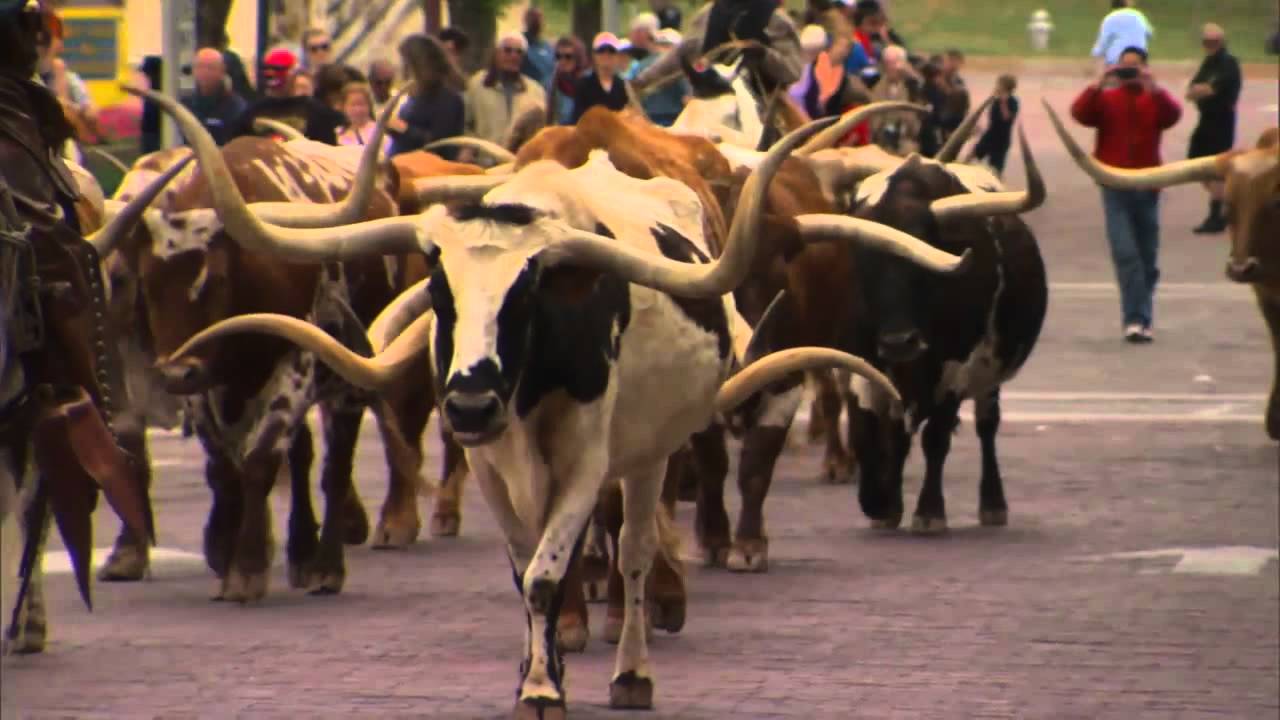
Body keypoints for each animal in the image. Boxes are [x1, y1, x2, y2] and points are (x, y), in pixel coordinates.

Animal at [149, 91, 904, 716]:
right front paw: (539, 670)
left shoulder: (586, 461)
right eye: (440, 291)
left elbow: (547, 574)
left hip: (649, 453)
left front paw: (544, 688)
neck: (529, 386)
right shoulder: (494, 468)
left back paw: (632, 669)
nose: (471, 405)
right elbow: (529, 571)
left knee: (634, 550)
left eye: (529, 291)